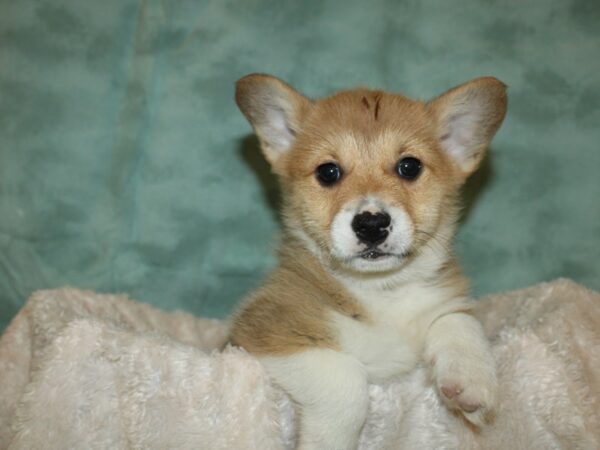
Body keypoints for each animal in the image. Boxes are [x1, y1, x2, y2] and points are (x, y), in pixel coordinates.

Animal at [230, 74, 506, 450]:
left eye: (409, 166)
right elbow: (346, 383)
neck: (380, 290)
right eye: (328, 172)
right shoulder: (266, 332)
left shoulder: (443, 302)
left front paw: (472, 379)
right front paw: (329, 441)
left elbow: (458, 319)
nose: (372, 224)